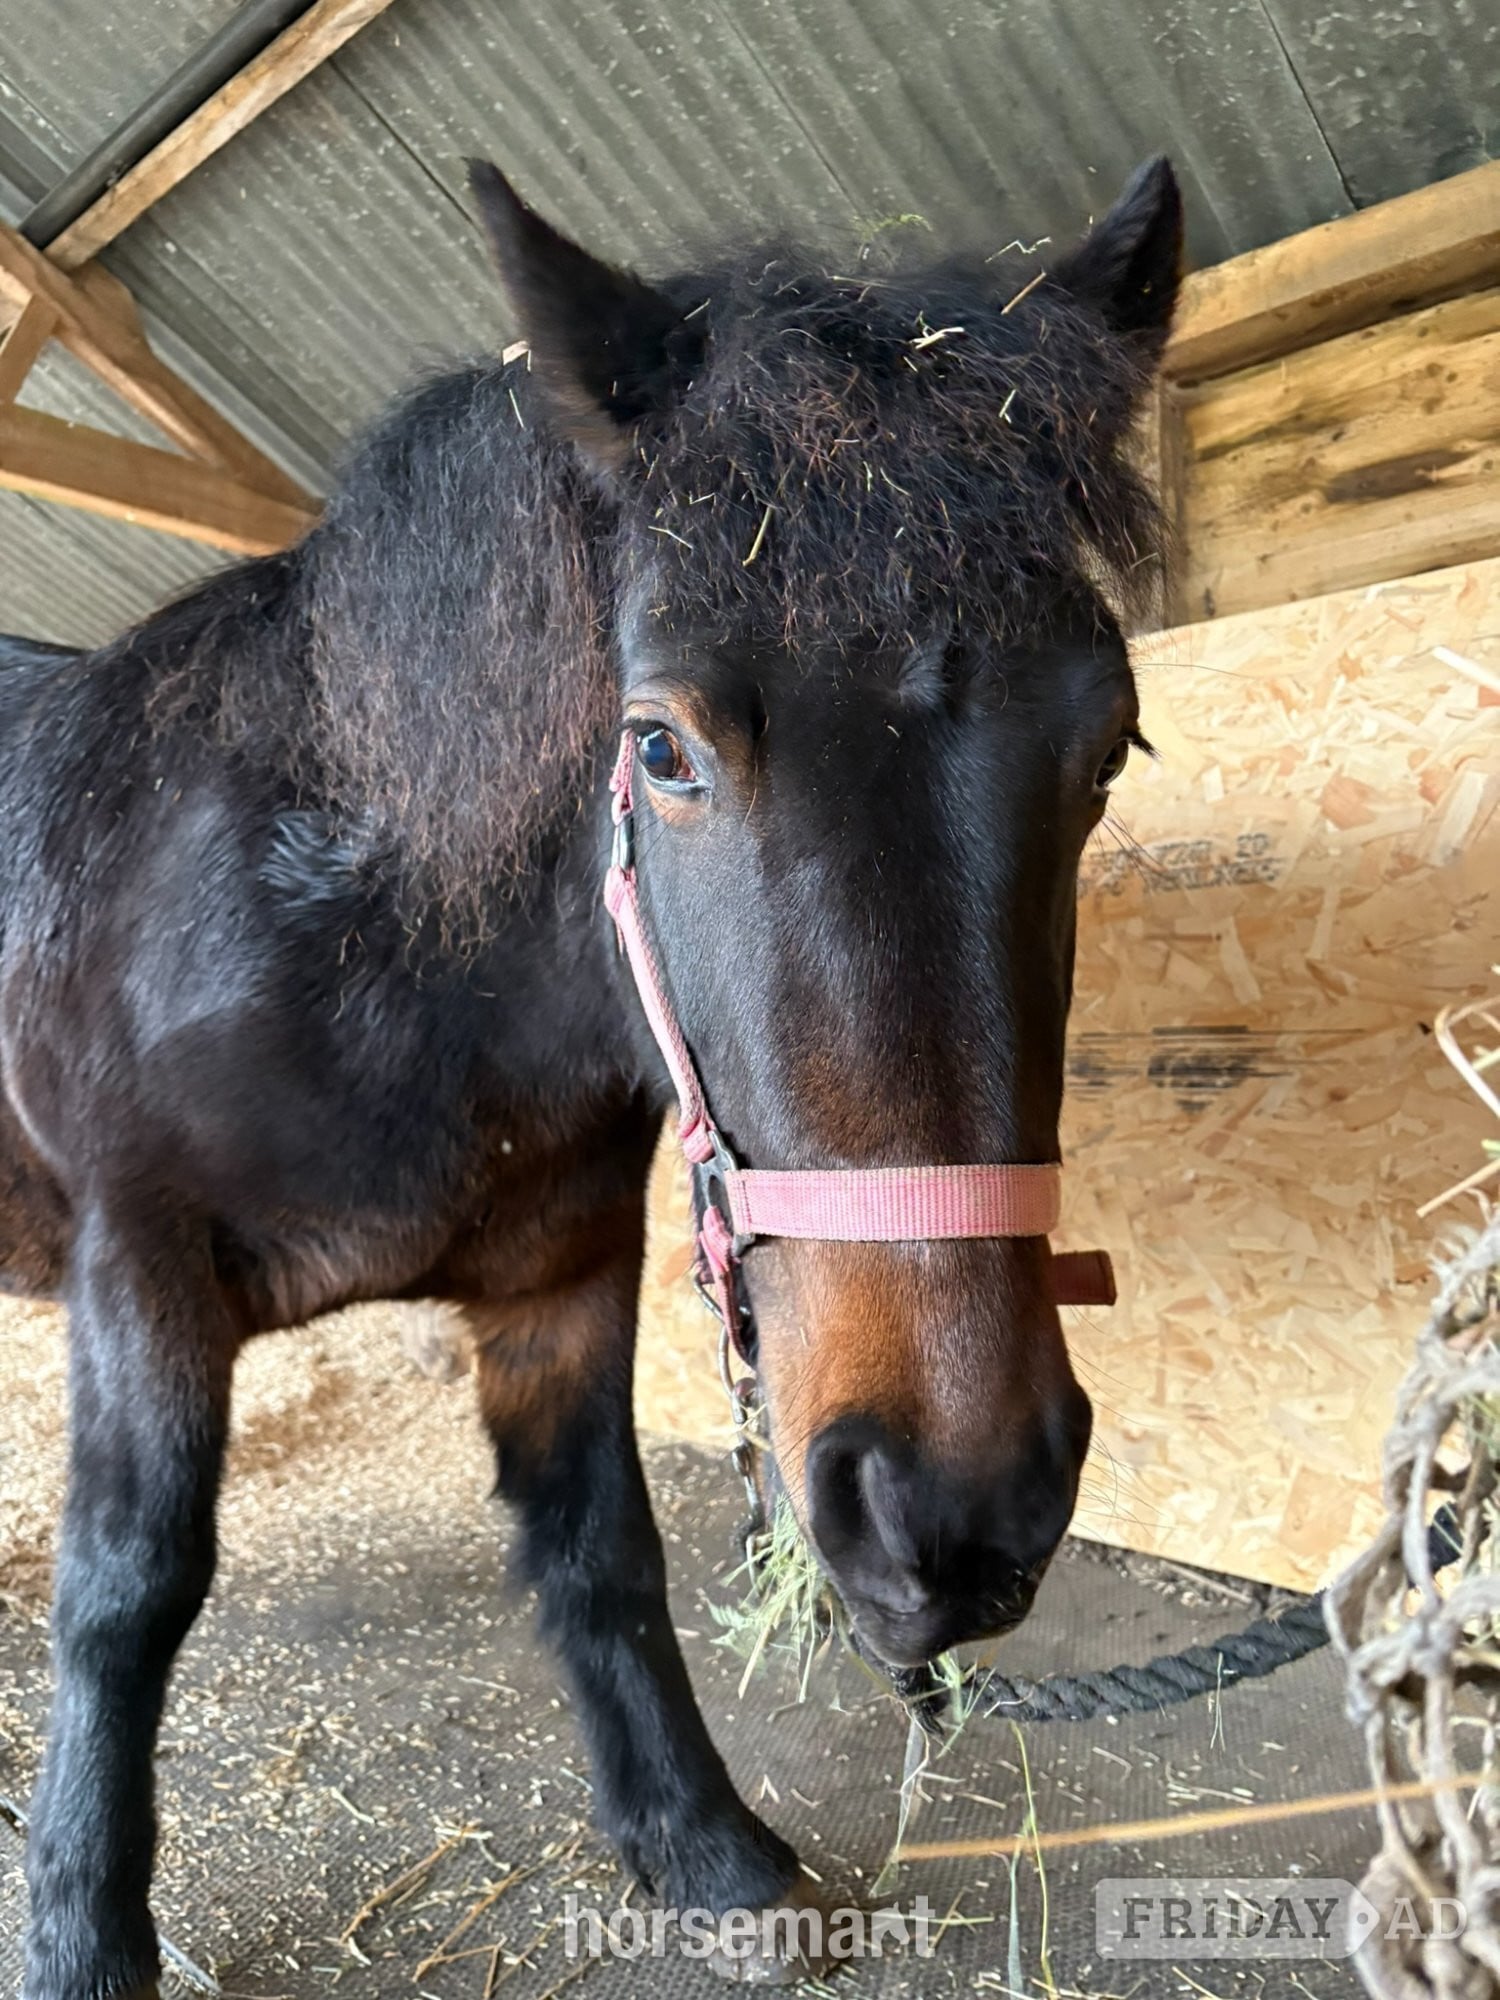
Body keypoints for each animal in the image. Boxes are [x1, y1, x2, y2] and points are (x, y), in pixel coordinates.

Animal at [2, 153, 1181, 1995]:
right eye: (659, 745)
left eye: (1109, 745)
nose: (952, 1511)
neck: (361, 928)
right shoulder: (139, 1271)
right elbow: (124, 1596)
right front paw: (77, 1934)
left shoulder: (563, 1273)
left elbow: (598, 1548)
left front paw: (705, 1851)